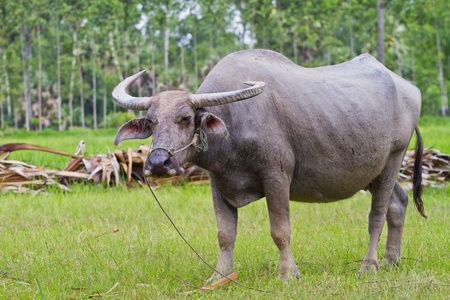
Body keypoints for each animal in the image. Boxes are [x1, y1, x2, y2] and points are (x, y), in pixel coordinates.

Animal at [110, 49, 424, 282]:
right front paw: (219, 276)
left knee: (378, 214)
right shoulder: (218, 182)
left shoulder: (276, 176)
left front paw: (288, 273)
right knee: (399, 203)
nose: (158, 163)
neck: (233, 125)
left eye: (186, 118)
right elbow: (225, 234)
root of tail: (410, 89)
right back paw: (392, 260)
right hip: (373, 171)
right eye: (151, 121)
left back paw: (369, 266)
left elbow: (280, 230)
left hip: (393, 159)